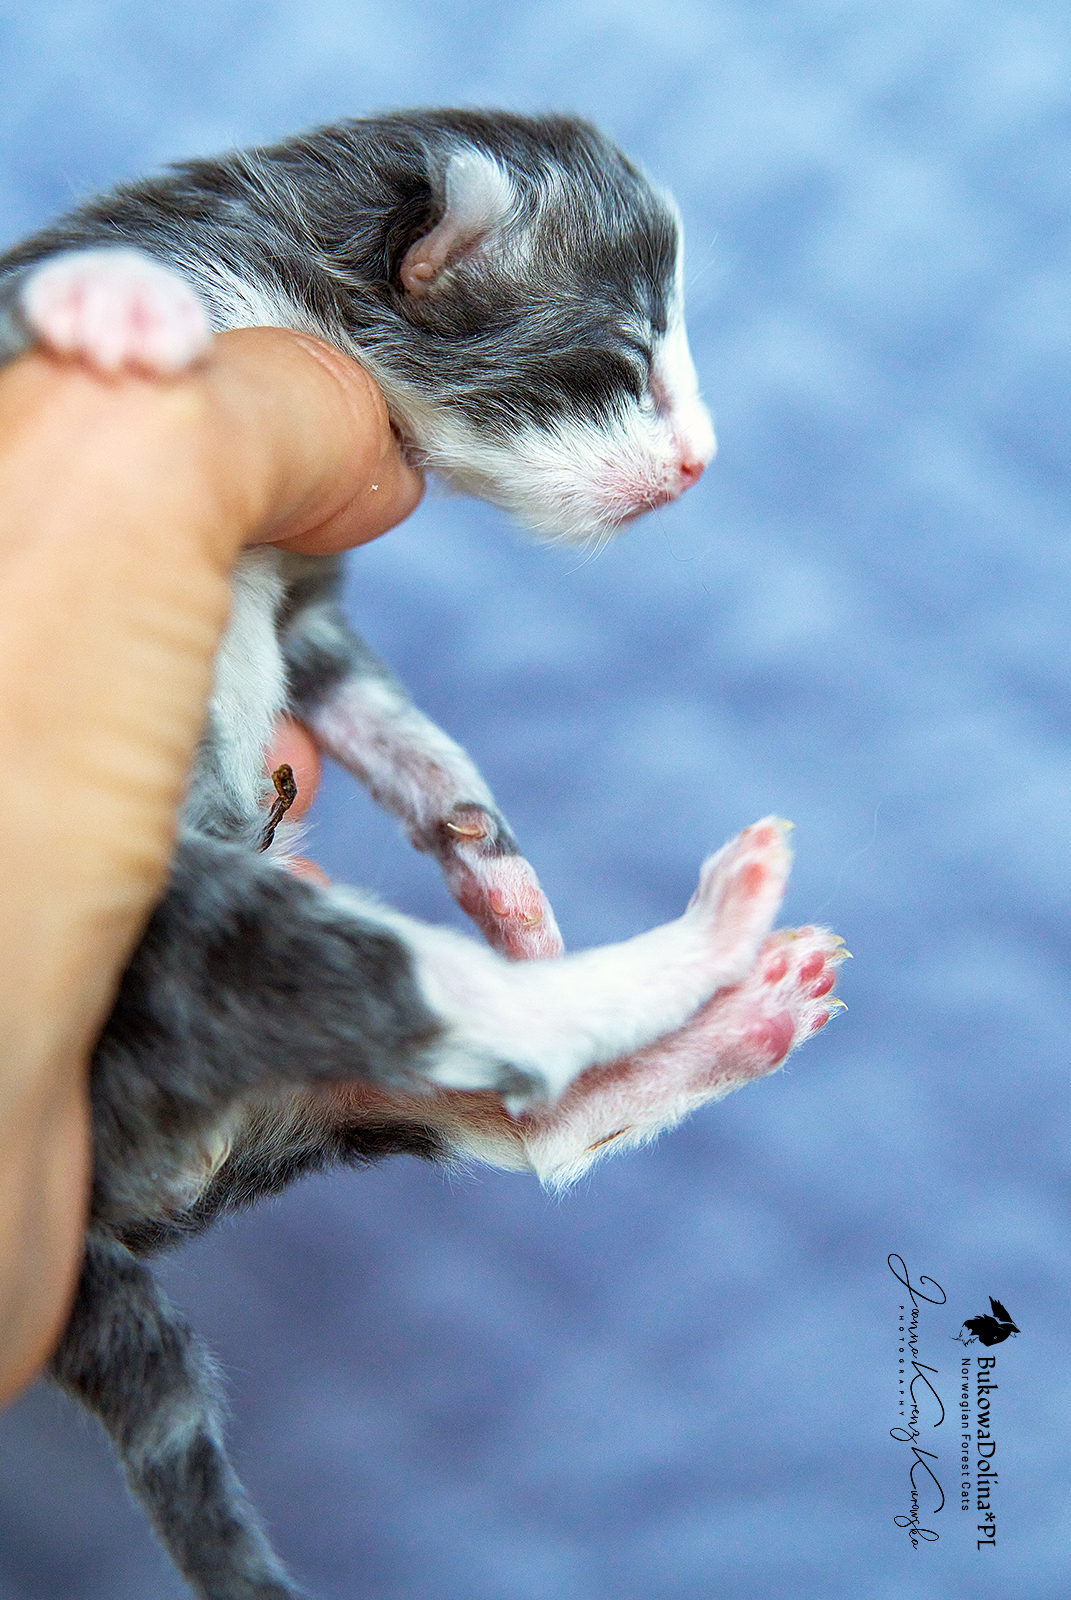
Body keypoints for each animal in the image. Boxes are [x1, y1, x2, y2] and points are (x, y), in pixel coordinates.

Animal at [0, 110, 845, 1600]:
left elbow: (397, 726)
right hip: (192, 928)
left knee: (526, 1111)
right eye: (623, 358)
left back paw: (725, 1005)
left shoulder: (310, 609)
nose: (700, 461)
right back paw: (706, 934)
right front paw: (110, 302)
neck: (298, 278)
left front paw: (491, 860)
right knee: (475, 1014)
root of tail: (107, 1207)